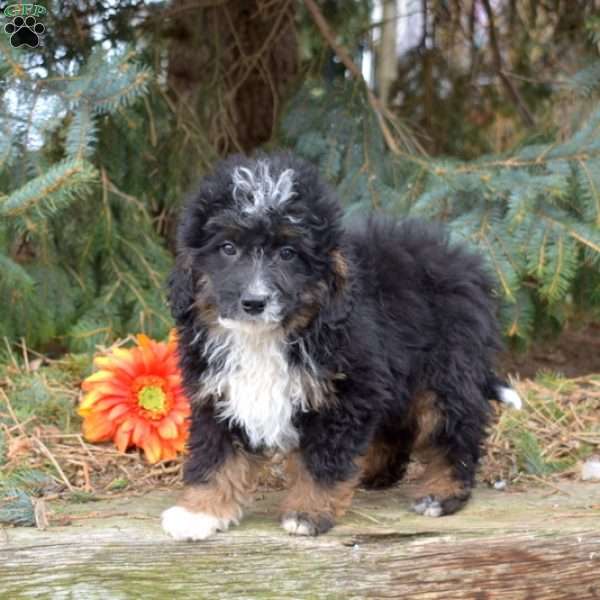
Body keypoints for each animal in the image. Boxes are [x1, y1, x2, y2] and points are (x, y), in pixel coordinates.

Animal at [161, 152, 520, 540]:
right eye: (227, 248)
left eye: (288, 253)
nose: (254, 302)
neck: (265, 337)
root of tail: (469, 268)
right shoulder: (218, 393)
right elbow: (215, 456)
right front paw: (200, 511)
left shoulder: (345, 393)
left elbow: (322, 460)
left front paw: (308, 511)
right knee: (398, 426)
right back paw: (374, 472)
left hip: (446, 371)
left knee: (456, 430)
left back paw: (442, 492)